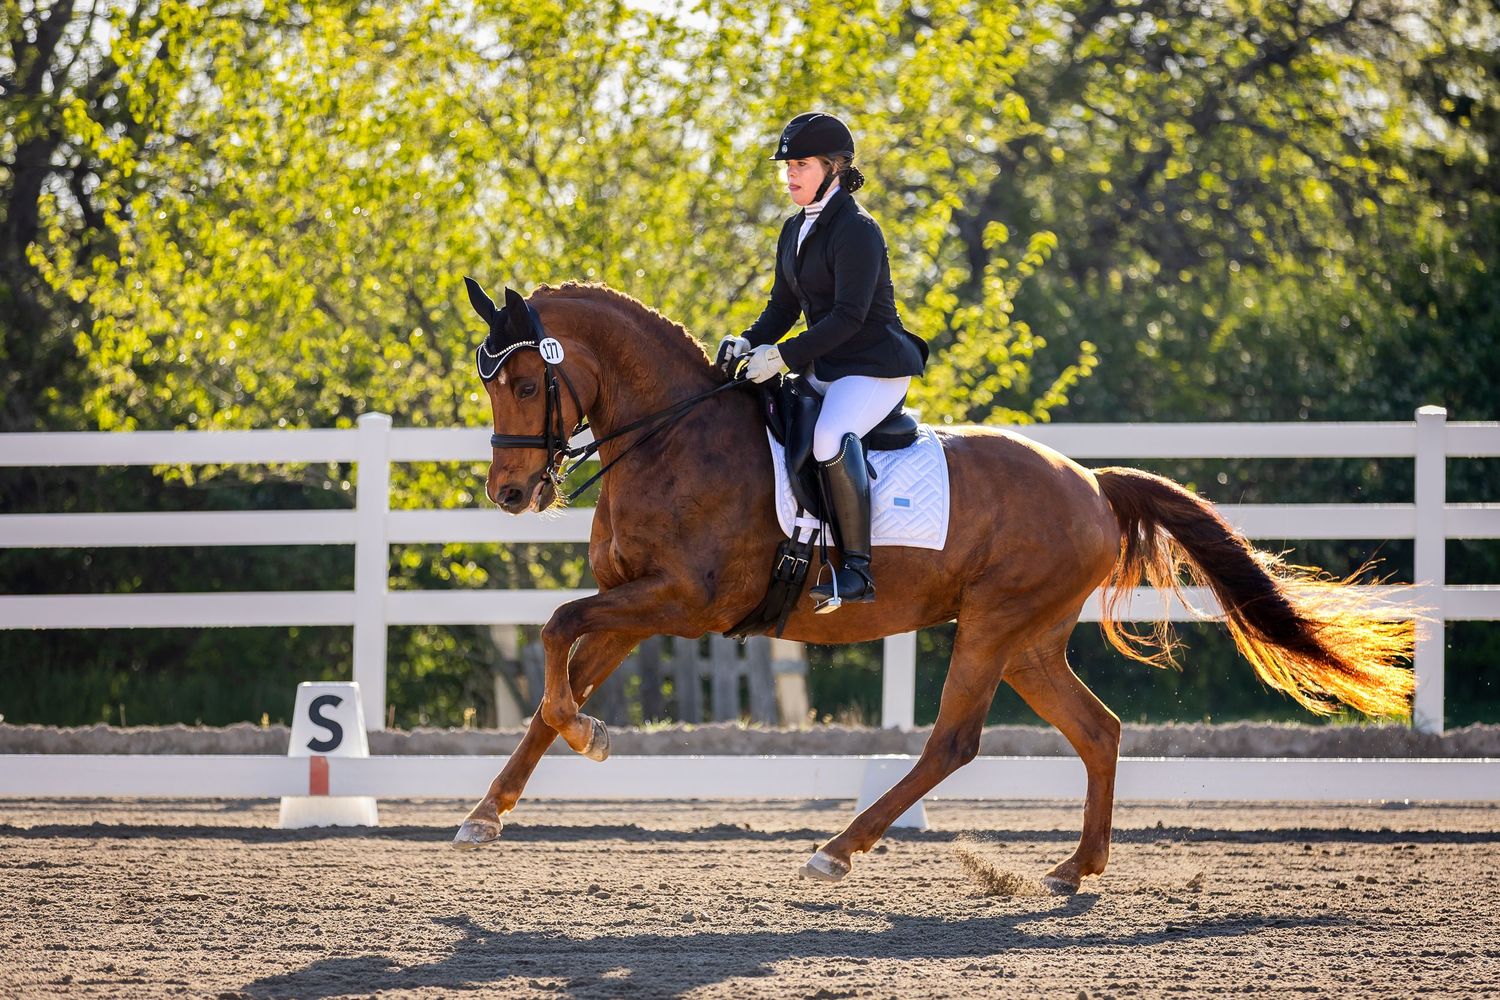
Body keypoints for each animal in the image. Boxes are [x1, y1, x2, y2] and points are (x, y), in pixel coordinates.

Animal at [452, 279, 1416, 892]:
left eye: (529, 381)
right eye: (491, 381)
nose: (510, 495)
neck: (670, 437)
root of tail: (1092, 482)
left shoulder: (682, 601)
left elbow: (555, 630)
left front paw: (589, 739)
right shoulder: (635, 605)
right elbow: (552, 687)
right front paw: (487, 813)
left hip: (992, 625)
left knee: (953, 743)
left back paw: (838, 850)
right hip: (1028, 642)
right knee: (1098, 731)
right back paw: (1073, 870)